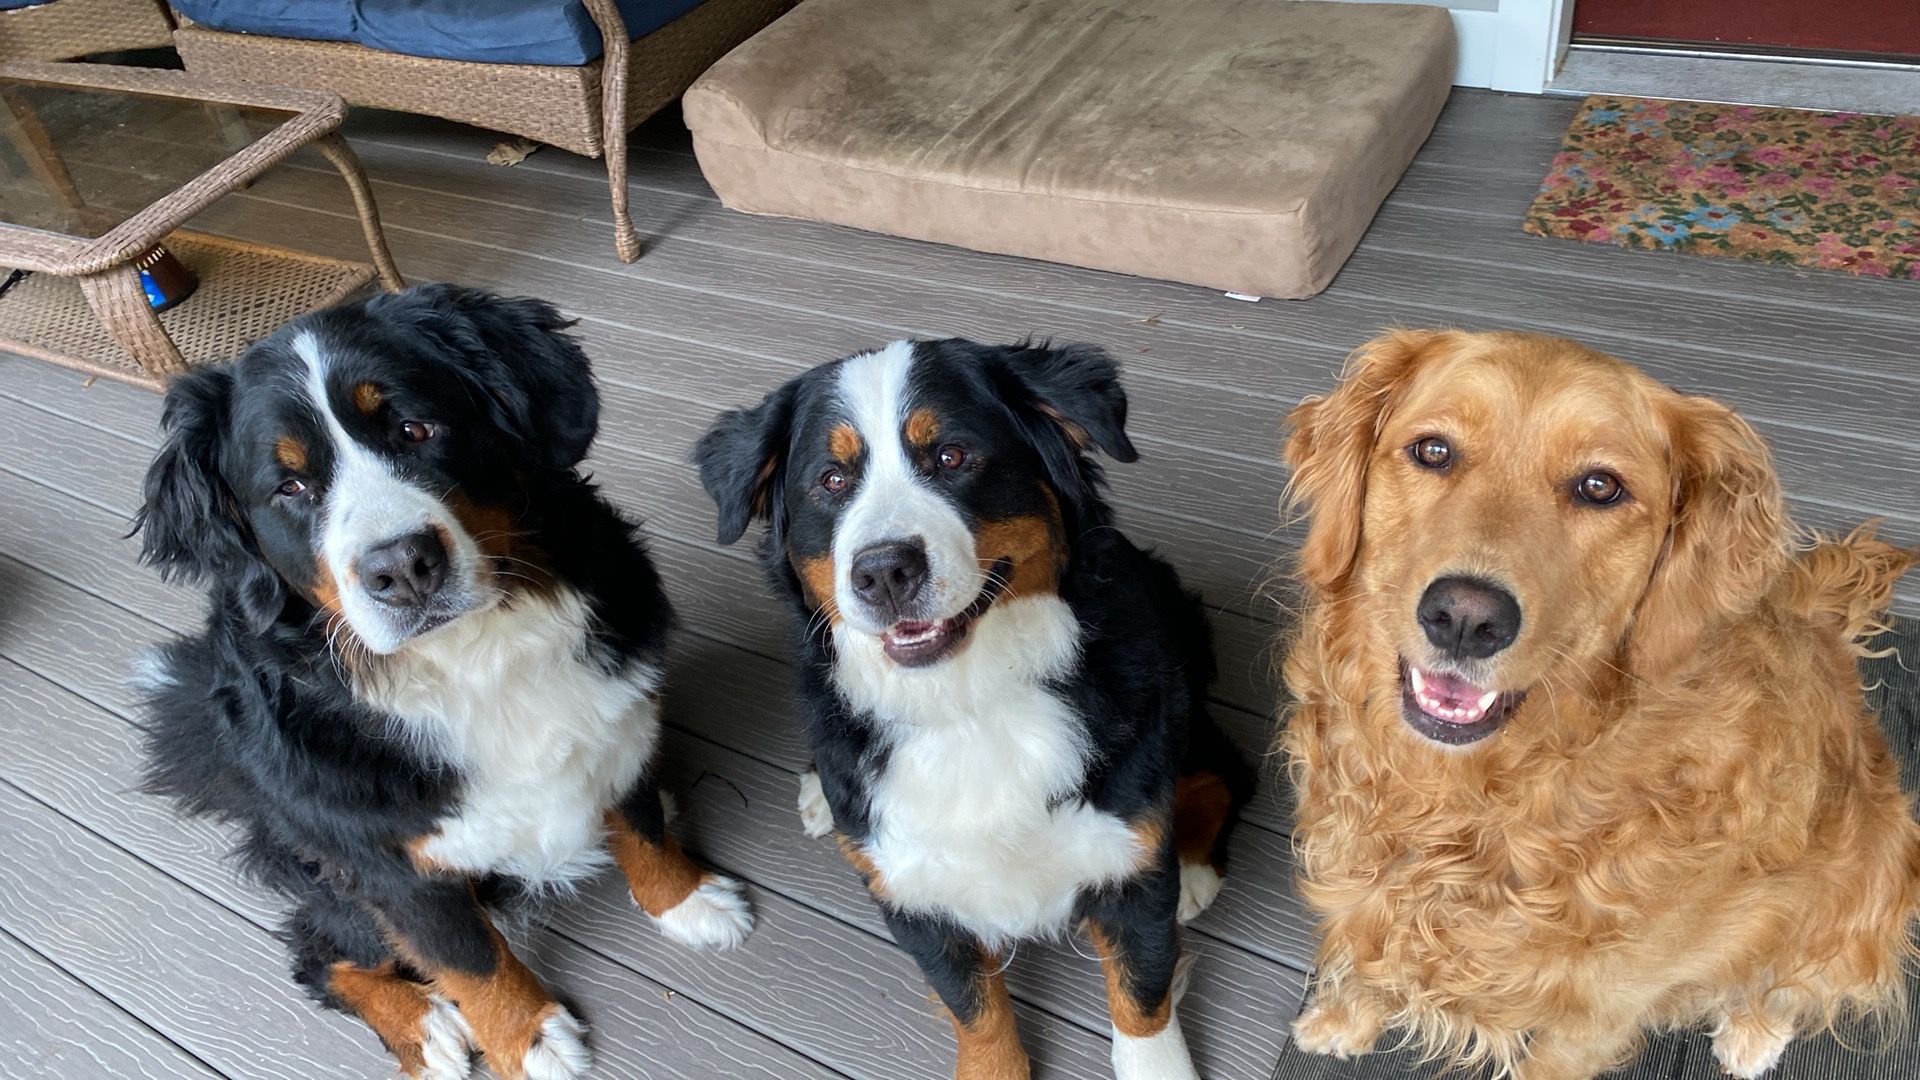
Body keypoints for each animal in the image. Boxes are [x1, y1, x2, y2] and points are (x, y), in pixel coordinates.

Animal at [131, 286, 748, 1076]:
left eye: (414, 428)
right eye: (291, 486)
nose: (401, 566)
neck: (479, 659)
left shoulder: (617, 729)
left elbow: (641, 826)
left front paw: (685, 899)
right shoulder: (390, 863)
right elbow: (470, 957)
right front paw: (528, 1039)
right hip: (335, 888)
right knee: (321, 954)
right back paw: (422, 1026)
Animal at [698, 336, 1251, 1076]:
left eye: (952, 456)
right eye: (832, 481)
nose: (883, 571)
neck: (968, 701)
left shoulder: (1127, 870)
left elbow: (1141, 999)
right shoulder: (914, 896)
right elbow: (977, 1013)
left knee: (1224, 774)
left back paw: (1191, 873)